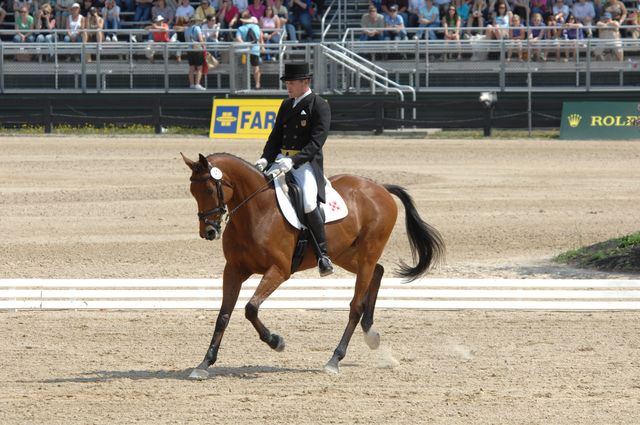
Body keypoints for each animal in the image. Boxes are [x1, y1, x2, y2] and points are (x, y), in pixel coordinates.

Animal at [181, 152, 444, 378]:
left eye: (209, 189)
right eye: (193, 192)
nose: (209, 232)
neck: (256, 212)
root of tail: (379, 188)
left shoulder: (279, 270)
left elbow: (251, 308)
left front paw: (277, 342)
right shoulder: (234, 270)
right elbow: (223, 315)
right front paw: (204, 363)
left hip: (367, 252)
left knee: (356, 305)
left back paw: (335, 359)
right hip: (345, 254)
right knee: (378, 272)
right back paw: (371, 334)